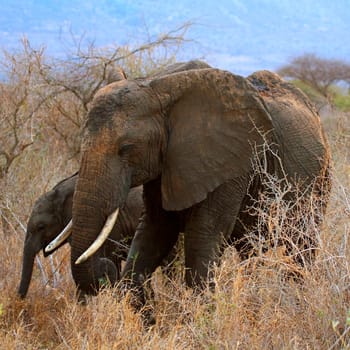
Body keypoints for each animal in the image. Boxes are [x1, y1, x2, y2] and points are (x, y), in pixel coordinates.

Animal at [68, 66, 330, 300]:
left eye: (126, 148)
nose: (105, 267)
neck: (159, 89)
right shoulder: (166, 164)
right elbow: (155, 230)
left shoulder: (229, 164)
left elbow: (203, 236)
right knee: (250, 251)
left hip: (321, 178)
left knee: (303, 244)